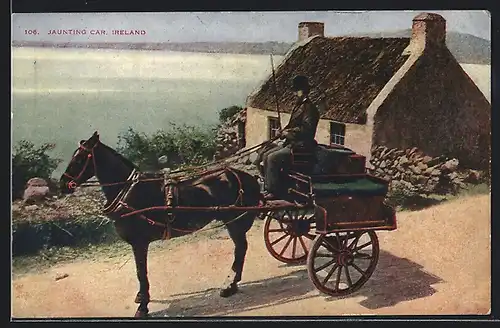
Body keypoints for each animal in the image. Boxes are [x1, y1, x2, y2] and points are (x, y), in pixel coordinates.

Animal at [58, 131, 264, 318]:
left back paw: (230, 285)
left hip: (235, 222)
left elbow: (141, 272)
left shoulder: (139, 242)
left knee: (241, 248)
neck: (129, 192)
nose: (62, 184)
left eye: (79, 159)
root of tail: (247, 178)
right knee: (240, 248)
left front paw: (143, 307)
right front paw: (141, 298)